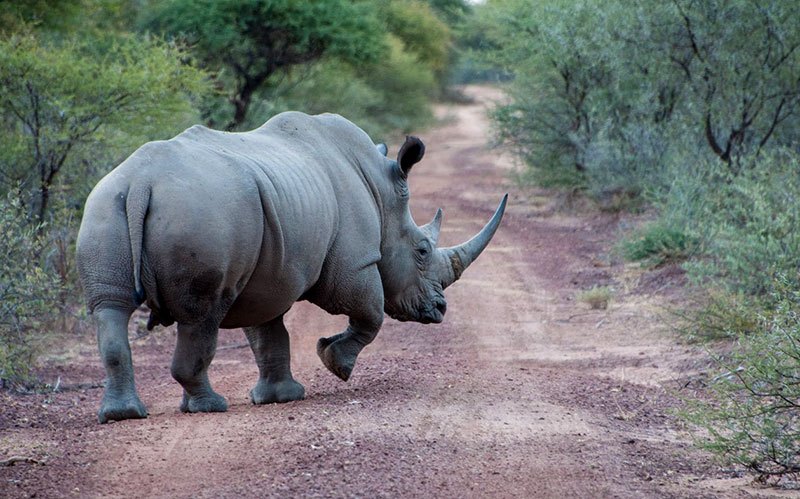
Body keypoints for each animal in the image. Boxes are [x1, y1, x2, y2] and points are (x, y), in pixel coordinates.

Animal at [76, 111, 506, 424]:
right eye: (421, 250)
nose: (440, 309)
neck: (383, 195)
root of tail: (141, 183)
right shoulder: (353, 264)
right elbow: (371, 314)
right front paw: (335, 365)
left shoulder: (265, 275)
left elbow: (268, 334)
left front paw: (281, 397)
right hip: (201, 214)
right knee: (202, 314)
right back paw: (210, 406)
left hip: (105, 205)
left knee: (111, 308)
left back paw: (122, 415)